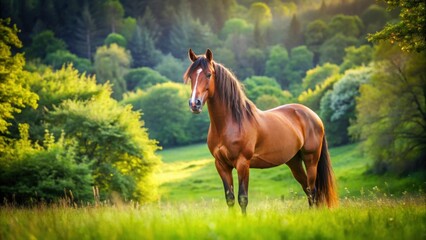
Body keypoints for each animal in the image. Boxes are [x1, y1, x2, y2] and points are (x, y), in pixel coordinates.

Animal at [185, 48, 338, 214]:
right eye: (190, 76)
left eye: (208, 74)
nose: (194, 104)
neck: (230, 123)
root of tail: (314, 116)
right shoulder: (221, 165)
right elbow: (230, 199)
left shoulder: (242, 163)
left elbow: (243, 198)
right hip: (294, 161)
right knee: (307, 189)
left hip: (311, 159)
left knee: (313, 189)